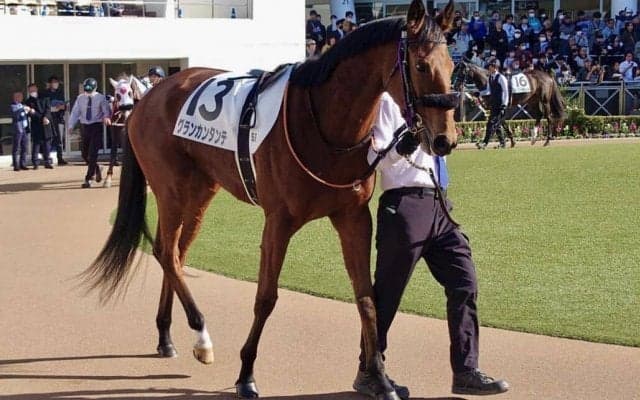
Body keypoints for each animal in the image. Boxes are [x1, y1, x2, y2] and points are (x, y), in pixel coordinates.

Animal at [83, 1, 459, 398]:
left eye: (452, 65)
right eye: (420, 65)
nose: (445, 139)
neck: (322, 122)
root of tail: (147, 98)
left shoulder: (354, 217)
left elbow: (367, 299)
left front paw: (381, 377)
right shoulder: (278, 221)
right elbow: (265, 298)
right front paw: (246, 373)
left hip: (200, 193)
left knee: (176, 255)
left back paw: (166, 334)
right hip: (171, 189)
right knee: (165, 252)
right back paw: (201, 335)